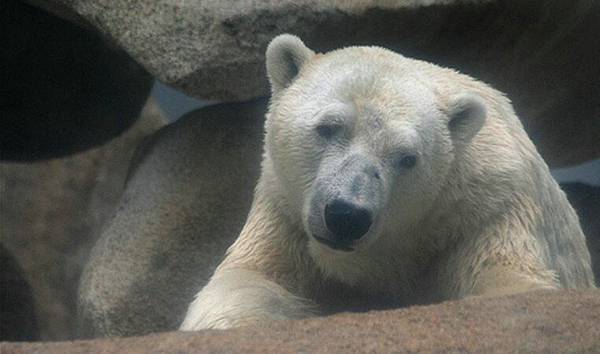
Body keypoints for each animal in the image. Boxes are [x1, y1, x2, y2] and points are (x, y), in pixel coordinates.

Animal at [179, 34, 596, 330]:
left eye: (407, 157)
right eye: (328, 127)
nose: (346, 215)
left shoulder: (488, 207)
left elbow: (508, 278)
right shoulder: (285, 212)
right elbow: (252, 280)